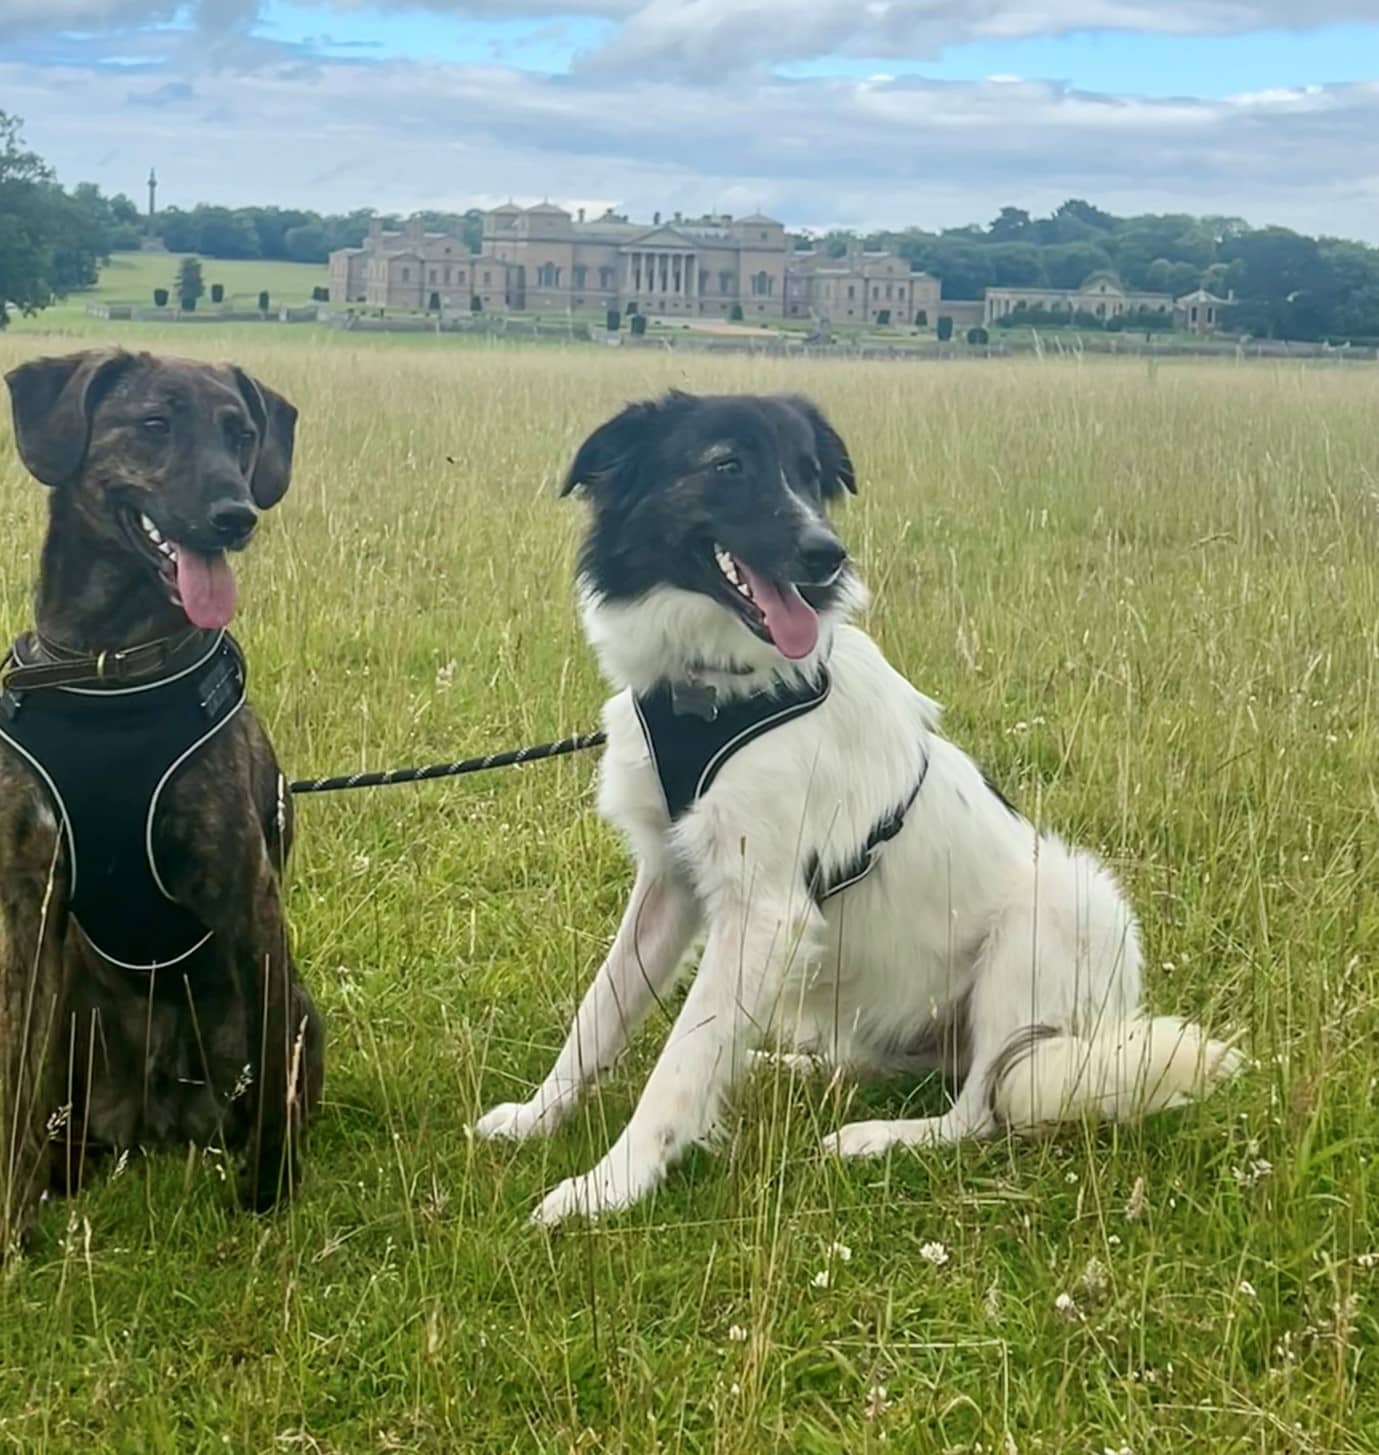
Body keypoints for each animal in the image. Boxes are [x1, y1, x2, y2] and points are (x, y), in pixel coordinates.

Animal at [0, 343, 324, 1251]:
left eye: (241, 433)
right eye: (153, 423)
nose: (235, 515)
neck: (112, 661)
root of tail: (158, 1122)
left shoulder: (248, 897)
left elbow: (271, 1084)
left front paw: (267, 1199)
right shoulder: (29, 905)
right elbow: (11, 1087)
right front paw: (11, 1231)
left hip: (302, 1013)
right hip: (77, 1021)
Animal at [480, 392, 1245, 1222]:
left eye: (811, 477)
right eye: (727, 465)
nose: (827, 555)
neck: (718, 691)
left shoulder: (765, 909)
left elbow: (682, 1059)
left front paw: (610, 1185)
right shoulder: (670, 883)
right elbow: (601, 1010)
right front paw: (538, 1116)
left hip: (1057, 910)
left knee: (980, 1108)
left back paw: (874, 1137)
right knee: (877, 1064)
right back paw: (787, 1064)